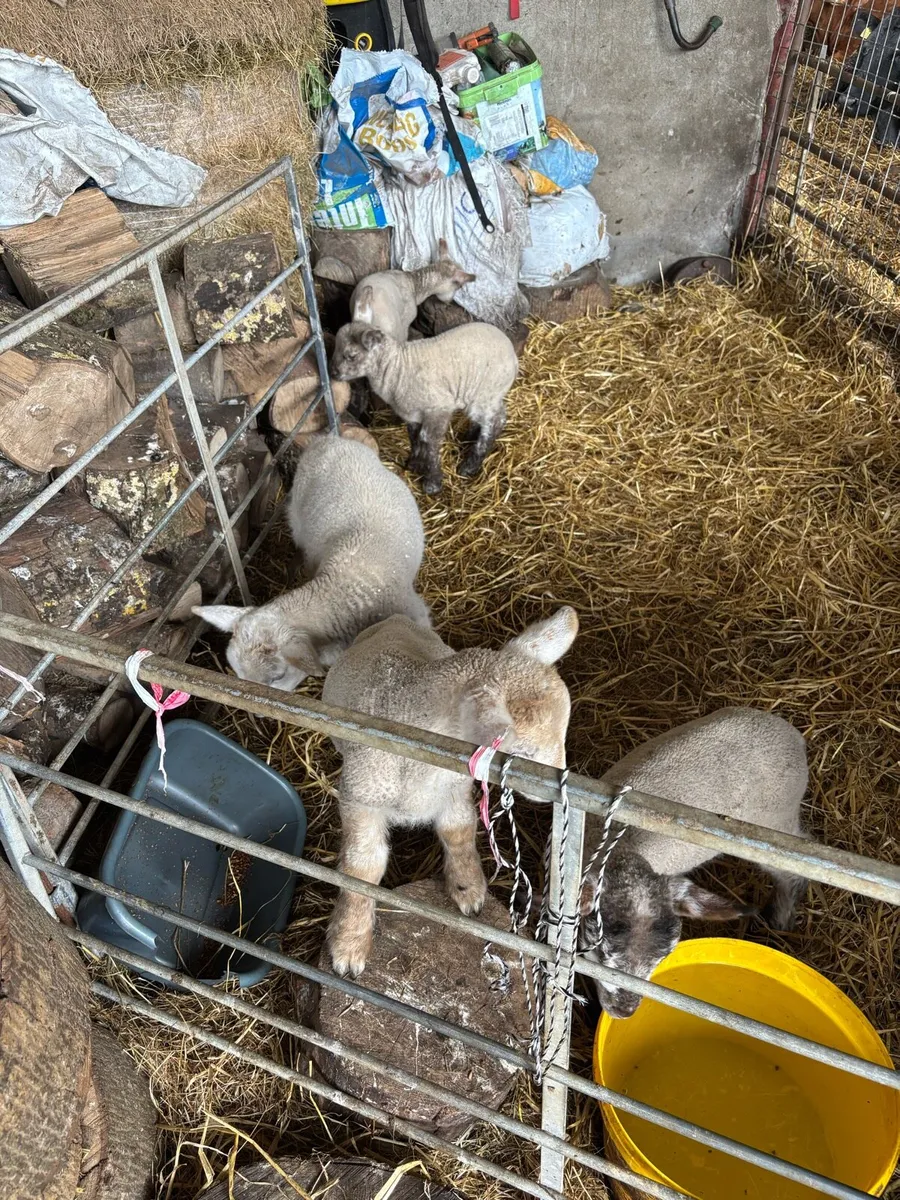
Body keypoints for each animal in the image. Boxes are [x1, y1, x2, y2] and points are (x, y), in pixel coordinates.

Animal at [321, 606, 579, 977]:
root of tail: (394, 619)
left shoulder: (455, 789)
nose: (554, 795)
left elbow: (457, 831)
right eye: (523, 753)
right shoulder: (360, 798)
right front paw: (349, 943)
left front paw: (468, 889)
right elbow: (362, 868)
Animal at [331, 319, 519, 495]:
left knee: (495, 422)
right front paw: (414, 463)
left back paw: (469, 466)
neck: (397, 368)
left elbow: (428, 439)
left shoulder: (438, 408)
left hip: (485, 393)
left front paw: (432, 483)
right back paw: (470, 436)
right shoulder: (412, 412)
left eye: (351, 355)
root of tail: (513, 355)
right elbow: (414, 437)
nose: (333, 373)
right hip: (487, 395)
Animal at [579, 707, 809, 1019]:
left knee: (794, 869)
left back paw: (782, 918)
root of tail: (794, 736)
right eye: (601, 949)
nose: (624, 1011)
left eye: (664, 956)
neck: (622, 848)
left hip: (775, 827)